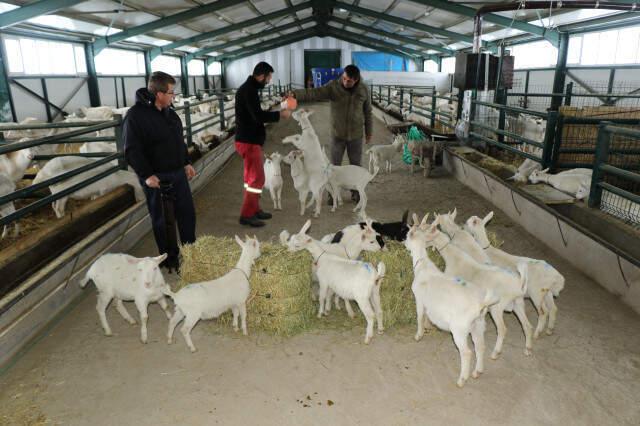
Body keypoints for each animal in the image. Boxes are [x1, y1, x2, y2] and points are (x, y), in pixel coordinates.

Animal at [402, 215, 498, 388]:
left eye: (407, 235)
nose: (403, 243)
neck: (423, 265)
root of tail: (480, 305)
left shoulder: (419, 299)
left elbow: (420, 316)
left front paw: (419, 335)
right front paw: (429, 326)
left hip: (459, 329)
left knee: (467, 352)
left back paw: (462, 380)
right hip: (478, 324)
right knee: (480, 346)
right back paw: (477, 372)